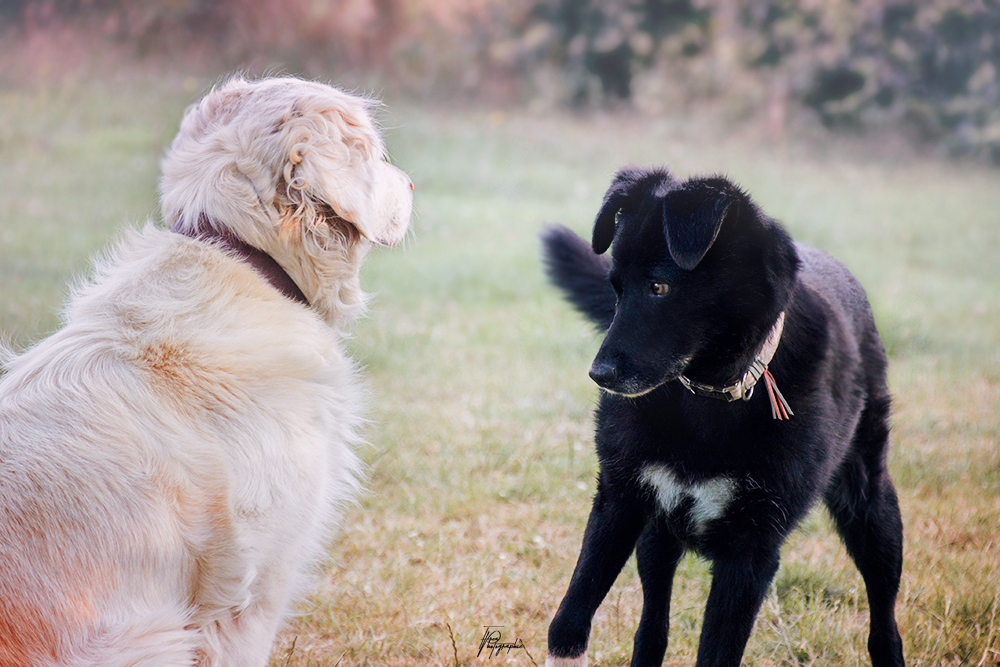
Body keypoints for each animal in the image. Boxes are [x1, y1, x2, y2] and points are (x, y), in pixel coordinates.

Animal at [544, 168, 904, 667]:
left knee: (883, 613)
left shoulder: (750, 553)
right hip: (656, 537)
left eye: (659, 287)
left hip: (873, 512)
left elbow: (716, 652)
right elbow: (571, 616)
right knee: (652, 625)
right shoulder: (619, 501)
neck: (709, 396)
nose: (599, 376)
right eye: (615, 287)